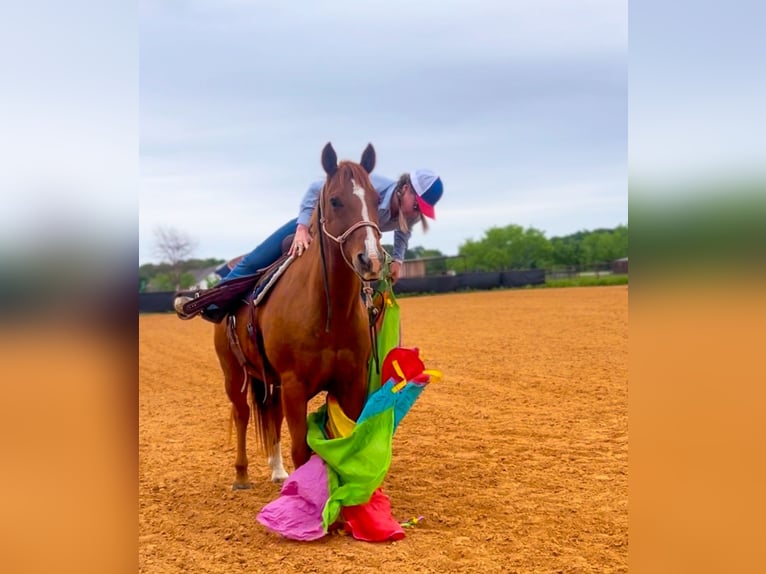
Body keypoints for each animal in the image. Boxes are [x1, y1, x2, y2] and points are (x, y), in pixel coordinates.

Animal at [213, 143, 388, 490]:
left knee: (270, 415)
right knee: (241, 415)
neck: (329, 315)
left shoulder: (351, 382)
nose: (371, 259)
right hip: (234, 376)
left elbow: (345, 442)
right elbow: (301, 450)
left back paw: (277, 471)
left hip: (270, 382)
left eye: (377, 199)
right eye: (335, 200)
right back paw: (241, 475)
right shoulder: (295, 386)